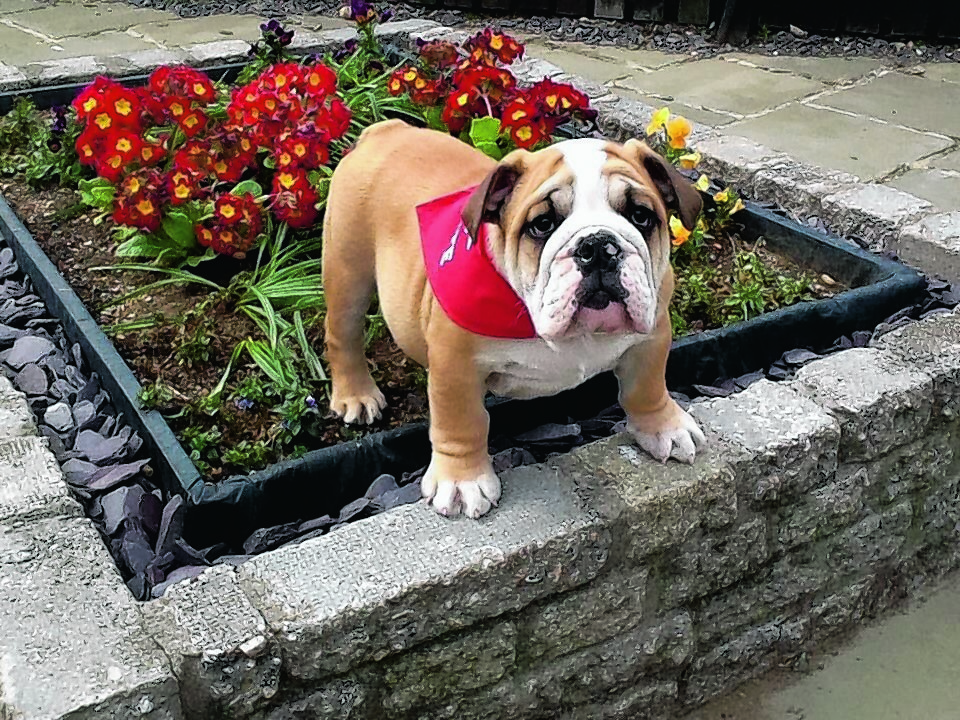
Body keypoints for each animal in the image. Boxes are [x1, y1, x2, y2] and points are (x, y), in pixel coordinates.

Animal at [322, 121, 704, 520]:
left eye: (640, 216)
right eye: (542, 224)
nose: (598, 246)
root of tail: (387, 130)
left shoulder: (652, 333)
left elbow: (647, 387)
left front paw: (664, 428)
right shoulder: (455, 364)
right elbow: (462, 421)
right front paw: (462, 481)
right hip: (348, 270)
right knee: (343, 335)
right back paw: (357, 396)